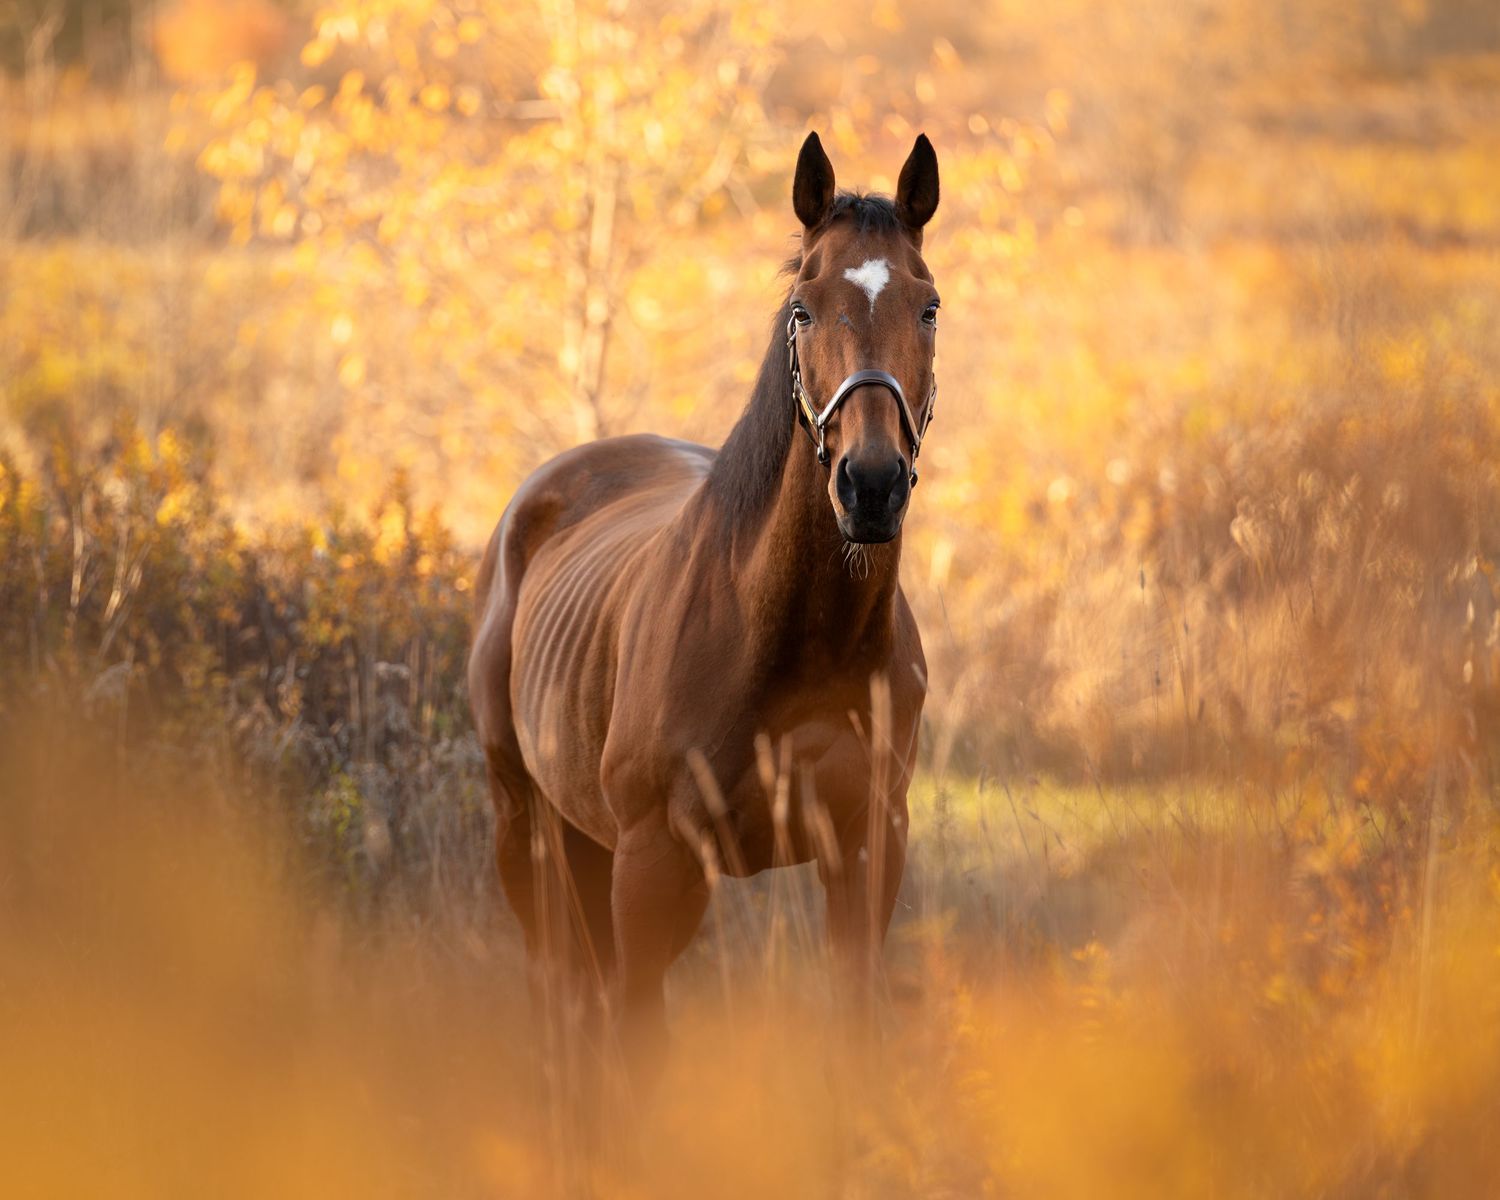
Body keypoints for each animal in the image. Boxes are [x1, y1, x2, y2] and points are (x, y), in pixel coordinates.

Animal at [467, 131, 941, 1059]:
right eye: (804, 309)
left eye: (928, 307)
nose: (870, 485)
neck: (789, 636)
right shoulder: (654, 867)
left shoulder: (868, 852)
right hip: (525, 826)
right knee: (564, 1001)